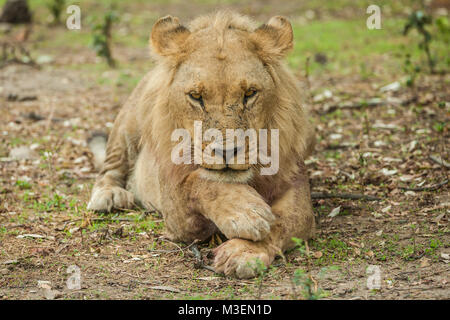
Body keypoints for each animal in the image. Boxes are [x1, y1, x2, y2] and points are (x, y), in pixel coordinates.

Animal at [86, 11, 314, 278]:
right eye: (196, 97)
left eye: (250, 93)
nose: (227, 152)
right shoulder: (176, 214)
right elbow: (199, 183)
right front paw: (246, 211)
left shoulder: (296, 188)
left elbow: (285, 221)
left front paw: (244, 250)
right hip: (128, 123)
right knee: (110, 166)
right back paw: (109, 195)